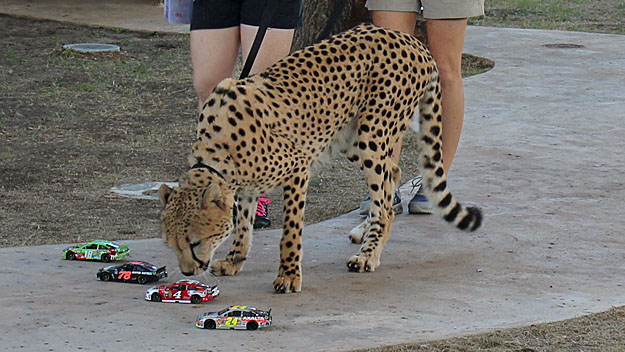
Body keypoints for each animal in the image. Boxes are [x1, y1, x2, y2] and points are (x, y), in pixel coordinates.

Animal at [158, 22, 480, 294]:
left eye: (195, 242)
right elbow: (243, 224)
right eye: (171, 244)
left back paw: (368, 255)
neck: (219, 150)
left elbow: (290, 231)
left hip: (372, 134)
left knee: (385, 202)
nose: (187, 272)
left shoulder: (298, 167)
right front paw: (235, 259)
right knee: (393, 175)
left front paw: (288, 276)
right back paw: (366, 232)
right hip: (350, 138)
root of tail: (410, 40)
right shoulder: (246, 184)